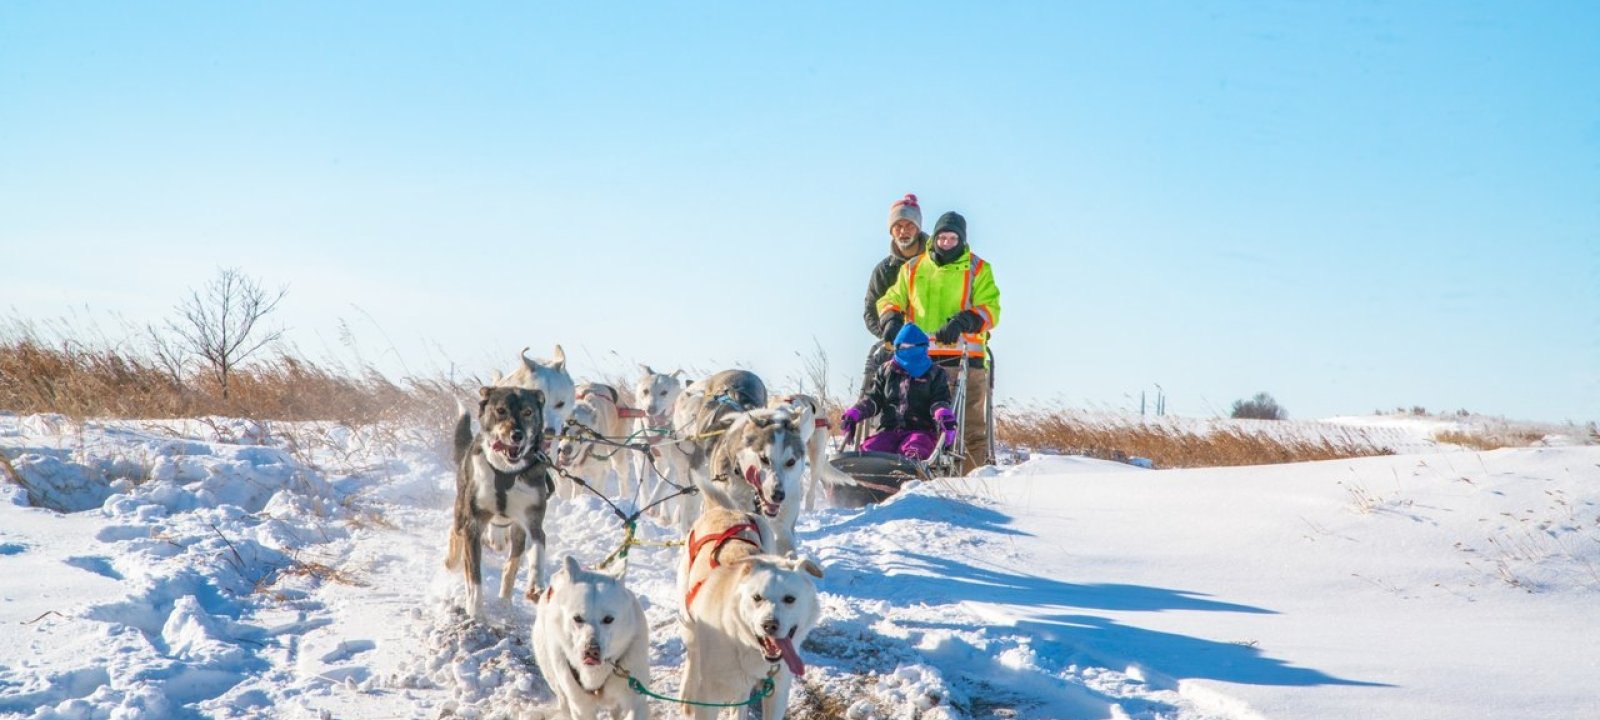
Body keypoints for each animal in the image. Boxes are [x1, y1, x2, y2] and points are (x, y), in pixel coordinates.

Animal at [448, 382, 553, 617]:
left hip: (517, 531)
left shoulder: (533, 520)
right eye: (501, 410)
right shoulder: (473, 524)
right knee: (455, 534)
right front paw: (475, 610)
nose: (517, 435)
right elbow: (474, 575)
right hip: (462, 511)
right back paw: (452, 561)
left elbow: (537, 552)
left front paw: (536, 585)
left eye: (528, 412)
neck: (506, 472)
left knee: (511, 563)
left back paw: (505, 601)